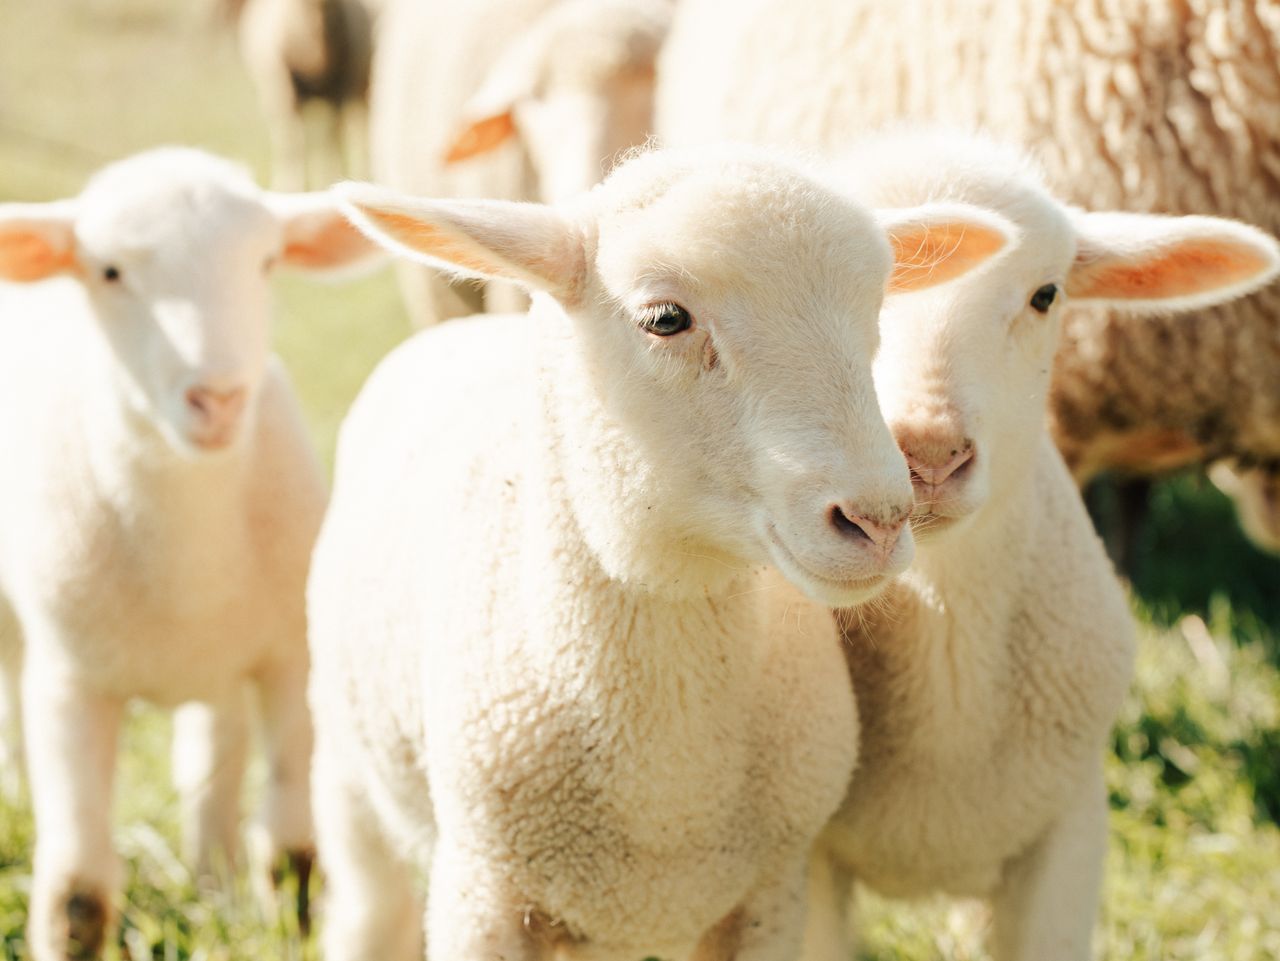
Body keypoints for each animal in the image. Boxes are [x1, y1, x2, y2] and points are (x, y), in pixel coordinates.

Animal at [0, 146, 376, 961]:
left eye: (268, 260)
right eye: (107, 271)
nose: (219, 398)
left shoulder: (288, 656)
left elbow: (293, 847)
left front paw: (290, 926)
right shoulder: (70, 680)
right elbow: (77, 890)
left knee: (212, 756)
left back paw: (213, 880)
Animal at [234, 0, 375, 190]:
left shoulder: (340, 87)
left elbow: (331, 138)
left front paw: (330, 178)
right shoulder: (285, 89)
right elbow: (293, 141)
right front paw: (293, 186)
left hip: (360, 87)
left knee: (354, 131)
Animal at [308, 143, 1016, 961]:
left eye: (874, 314)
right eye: (666, 319)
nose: (878, 519)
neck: (665, 778)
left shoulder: (770, 892)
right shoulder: (483, 892)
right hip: (346, 770)